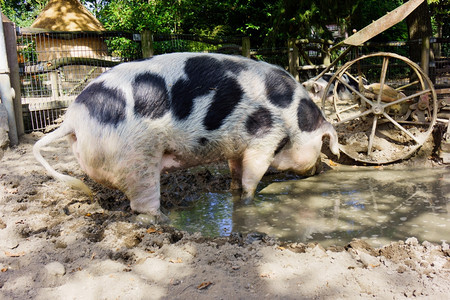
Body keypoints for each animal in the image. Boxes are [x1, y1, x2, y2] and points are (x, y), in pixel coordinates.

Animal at [34, 52, 338, 220]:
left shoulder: (236, 147)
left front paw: (233, 192)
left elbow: (236, 173)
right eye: (322, 146)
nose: (321, 168)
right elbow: (252, 178)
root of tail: (72, 120)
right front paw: (249, 201)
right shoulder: (264, 136)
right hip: (135, 159)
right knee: (143, 207)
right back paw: (169, 218)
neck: (293, 119)